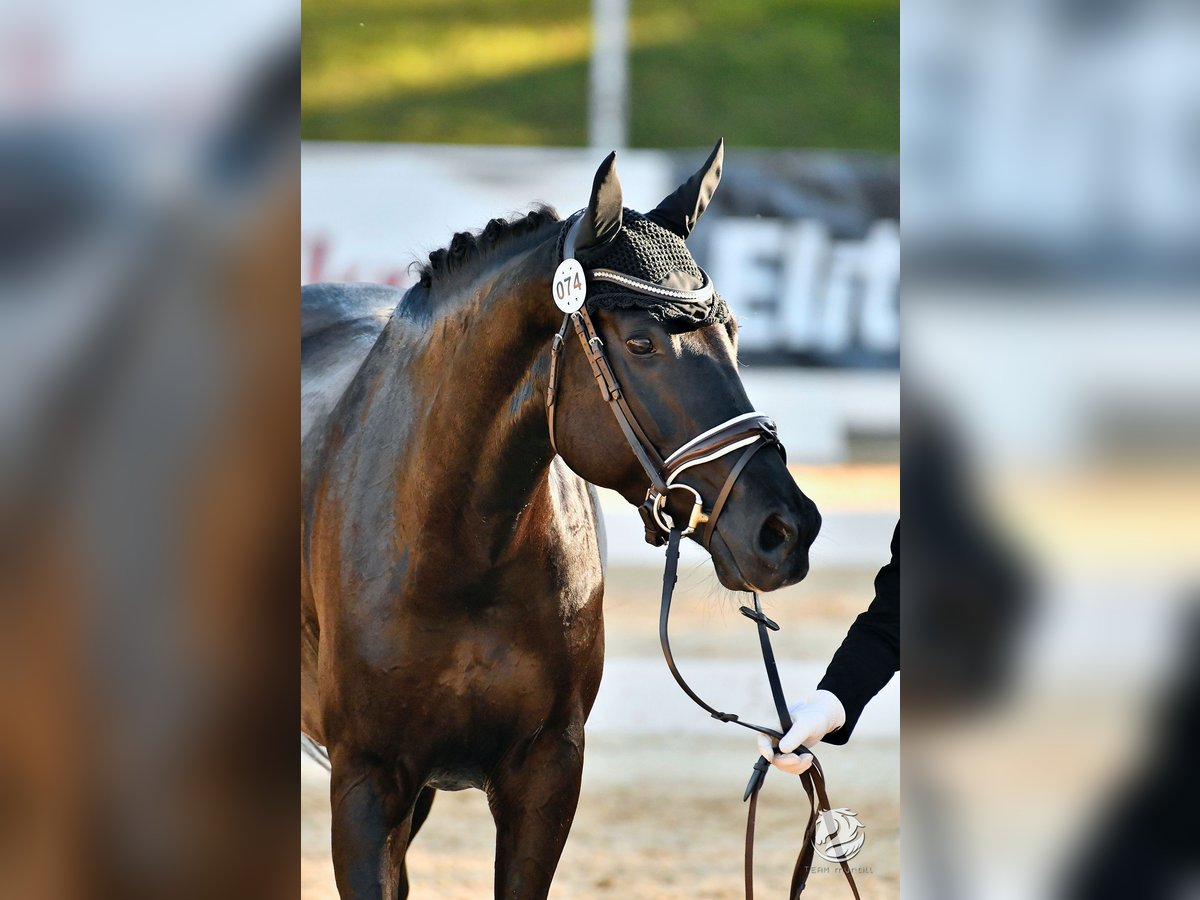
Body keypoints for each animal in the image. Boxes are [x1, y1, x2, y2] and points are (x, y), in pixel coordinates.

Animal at [300, 141, 821, 899]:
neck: (460, 547)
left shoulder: (545, 775)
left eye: (732, 332)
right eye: (640, 343)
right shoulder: (365, 784)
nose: (786, 530)